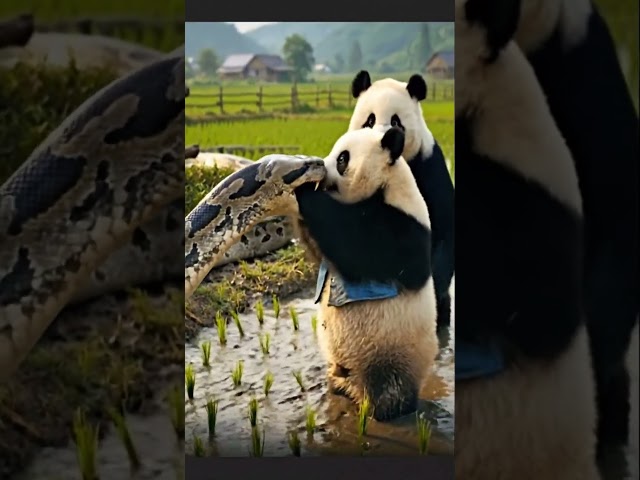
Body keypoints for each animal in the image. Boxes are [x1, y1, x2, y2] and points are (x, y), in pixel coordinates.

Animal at [293, 126, 439, 421]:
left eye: (342, 159)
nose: (318, 168)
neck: (386, 185)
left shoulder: (404, 226)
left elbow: (360, 244)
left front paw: (305, 191)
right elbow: (323, 253)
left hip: (392, 354)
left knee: (389, 388)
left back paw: (383, 411)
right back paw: (338, 389)